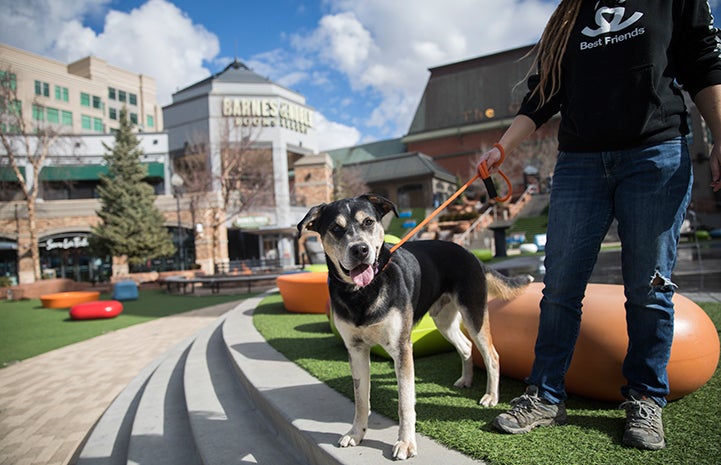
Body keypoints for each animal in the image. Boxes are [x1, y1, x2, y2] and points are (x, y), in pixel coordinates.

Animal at [296, 194, 532, 458]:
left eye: (368, 222)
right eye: (336, 229)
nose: (360, 249)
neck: (363, 292)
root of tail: (471, 255)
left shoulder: (402, 348)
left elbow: (405, 403)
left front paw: (406, 443)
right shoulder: (356, 350)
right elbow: (361, 400)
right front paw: (356, 434)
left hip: (475, 315)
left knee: (492, 355)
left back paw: (491, 396)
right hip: (444, 321)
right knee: (466, 347)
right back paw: (466, 380)